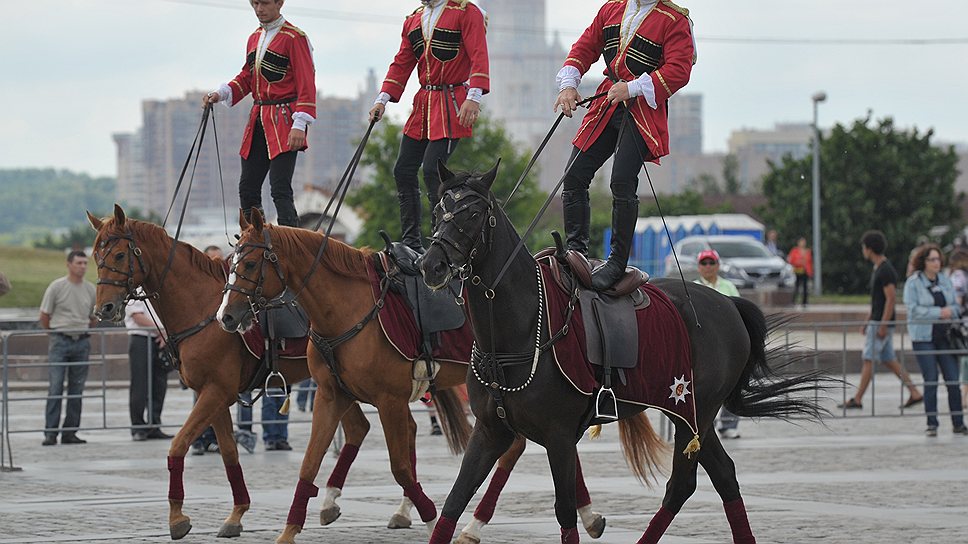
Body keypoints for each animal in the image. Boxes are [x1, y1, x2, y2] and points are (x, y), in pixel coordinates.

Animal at [83, 207, 428, 540]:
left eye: (118, 256)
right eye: (96, 257)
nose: (104, 310)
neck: (202, 306)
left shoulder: (216, 392)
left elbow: (178, 445)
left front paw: (177, 517)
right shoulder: (214, 395)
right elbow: (229, 453)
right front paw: (236, 514)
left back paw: (398, 506)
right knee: (369, 428)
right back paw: (354, 504)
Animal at [219, 212, 608, 544]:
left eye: (249, 264)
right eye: (230, 264)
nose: (226, 316)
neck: (349, 307)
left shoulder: (389, 400)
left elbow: (401, 468)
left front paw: (433, 519)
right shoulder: (331, 396)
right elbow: (309, 464)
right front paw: (289, 529)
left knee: (519, 447)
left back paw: (475, 524)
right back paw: (586, 514)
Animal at [420, 163, 828, 544]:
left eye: (474, 213)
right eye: (438, 210)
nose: (432, 265)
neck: (518, 332)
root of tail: (727, 303)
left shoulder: (559, 437)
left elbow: (565, 511)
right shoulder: (490, 431)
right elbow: (455, 500)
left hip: (693, 413)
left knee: (683, 485)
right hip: (693, 415)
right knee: (722, 475)